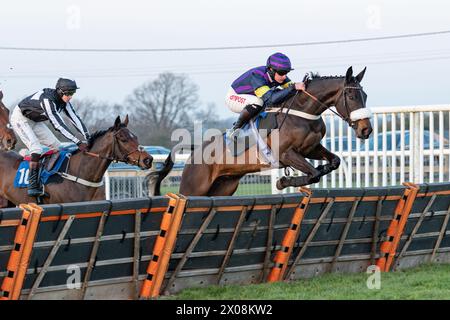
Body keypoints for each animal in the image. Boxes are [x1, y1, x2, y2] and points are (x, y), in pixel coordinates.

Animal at [155, 66, 372, 196]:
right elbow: (313, 174)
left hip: (224, 186)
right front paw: (283, 181)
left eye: (366, 95)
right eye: (351, 96)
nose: (366, 130)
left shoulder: (310, 148)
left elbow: (333, 162)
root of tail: (194, 152)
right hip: (193, 188)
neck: (302, 112)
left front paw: (321, 168)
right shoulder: (285, 153)